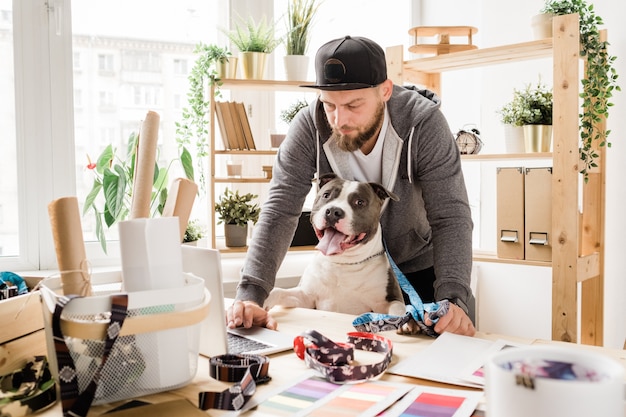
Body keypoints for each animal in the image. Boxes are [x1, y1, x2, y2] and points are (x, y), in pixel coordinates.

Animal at [262, 172, 404, 318]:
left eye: (360, 202)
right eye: (326, 195)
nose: (333, 211)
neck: (342, 263)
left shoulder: (388, 302)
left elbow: (399, 310)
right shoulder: (306, 297)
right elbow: (278, 291)